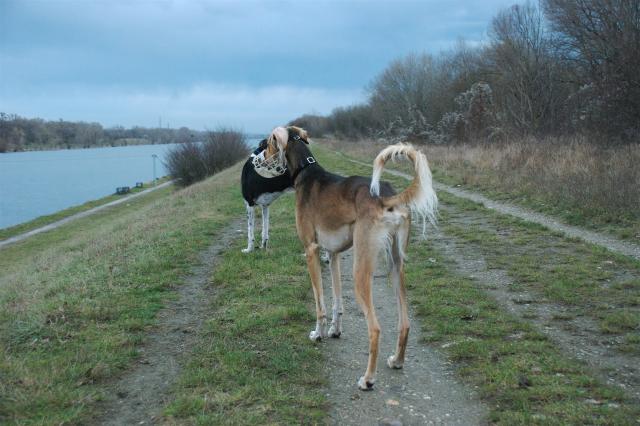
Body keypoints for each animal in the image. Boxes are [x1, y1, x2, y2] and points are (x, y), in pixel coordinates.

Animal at [266, 126, 437, 390]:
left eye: (267, 143)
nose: (262, 156)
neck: (307, 172)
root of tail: (386, 197)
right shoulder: (333, 254)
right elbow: (337, 301)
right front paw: (335, 331)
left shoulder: (311, 251)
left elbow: (320, 304)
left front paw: (318, 334)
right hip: (396, 265)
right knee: (405, 322)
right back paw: (397, 361)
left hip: (361, 270)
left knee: (375, 328)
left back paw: (368, 379)